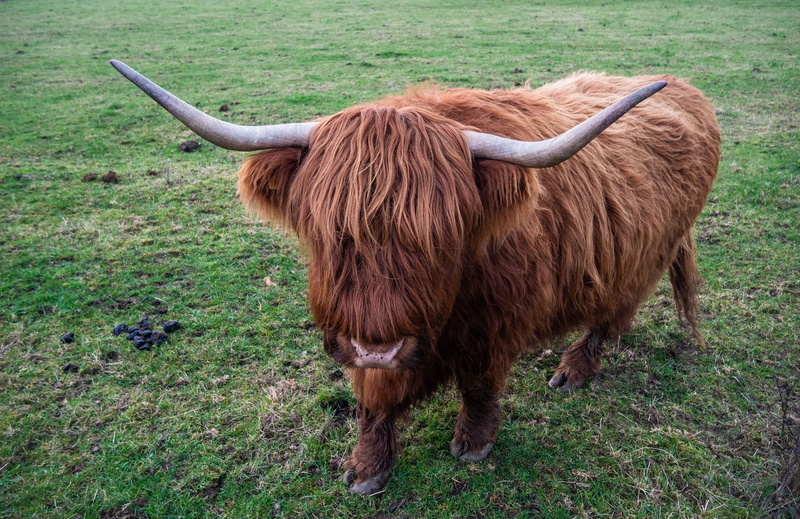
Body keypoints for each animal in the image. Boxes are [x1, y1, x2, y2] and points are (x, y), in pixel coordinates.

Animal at [110, 60, 720, 494]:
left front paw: (472, 443)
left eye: (439, 239)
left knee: (612, 317)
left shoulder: (496, 324)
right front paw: (366, 468)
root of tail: (688, 92)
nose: (378, 347)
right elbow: (373, 400)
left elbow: (478, 385)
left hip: (645, 258)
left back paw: (572, 371)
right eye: (328, 234)